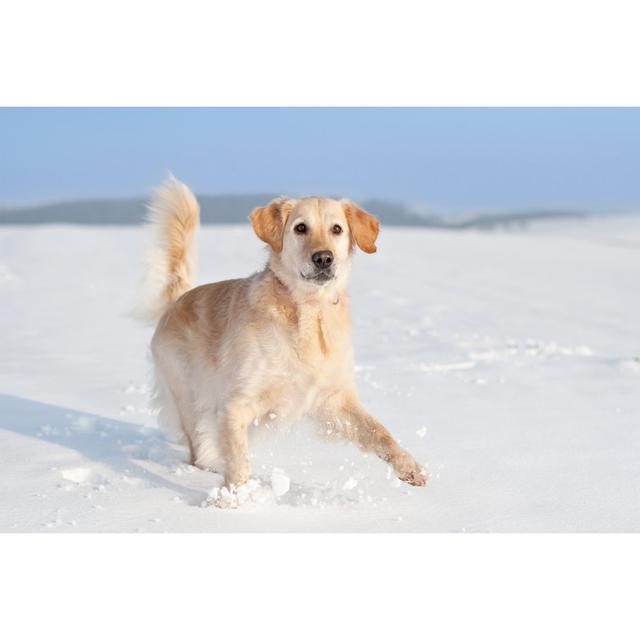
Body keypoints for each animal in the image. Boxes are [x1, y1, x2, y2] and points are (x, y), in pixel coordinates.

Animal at [134, 176, 424, 500]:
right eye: (300, 227)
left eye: (337, 229)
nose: (323, 258)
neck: (308, 309)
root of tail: (178, 300)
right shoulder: (236, 405)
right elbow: (239, 463)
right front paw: (230, 500)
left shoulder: (334, 400)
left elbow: (379, 432)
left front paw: (409, 467)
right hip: (189, 398)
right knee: (199, 450)